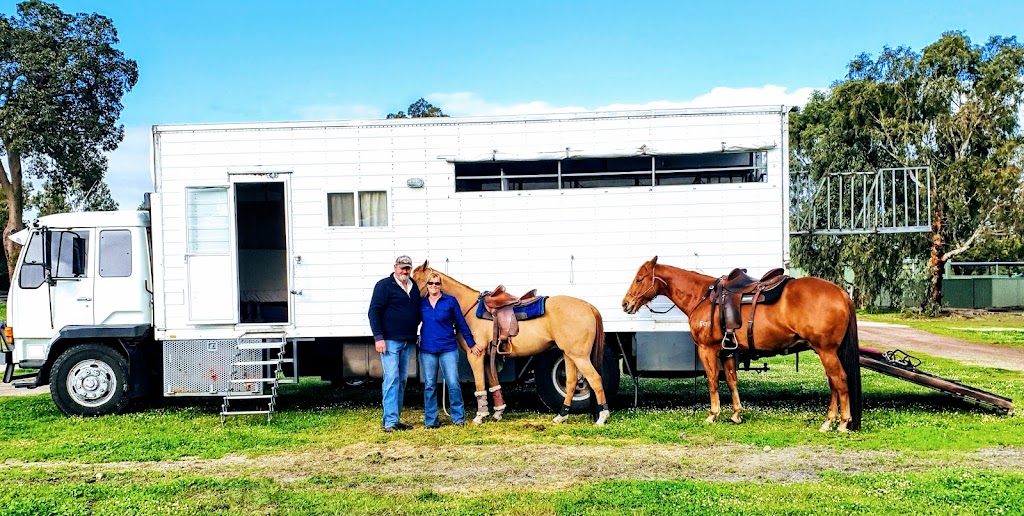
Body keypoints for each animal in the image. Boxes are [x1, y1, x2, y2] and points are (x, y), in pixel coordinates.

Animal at [411, 260, 610, 425]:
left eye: (417, 279)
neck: (469, 308)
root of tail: (589, 307)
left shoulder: (476, 355)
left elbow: (480, 385)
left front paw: (480, 416)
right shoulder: (488, 357)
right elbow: (493, 384)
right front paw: (498, 413)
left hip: (580, 356)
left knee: (595, 379)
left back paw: (602, 417)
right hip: (569, 354)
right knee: (571, 382)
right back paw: (561, 416)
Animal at [618, 256, 860, 432]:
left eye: (639, 279)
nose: (625, 304)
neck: (701, 297)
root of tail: (841, 293)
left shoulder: (708, 349)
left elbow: (713, 381)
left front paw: (713, 414)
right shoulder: (726, 352)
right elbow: (732, 381)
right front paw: (736, 414)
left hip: (826, 351)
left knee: (840, 380)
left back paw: (841, 423)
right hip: (826, 351)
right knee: (833, 383)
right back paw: (830, 421)